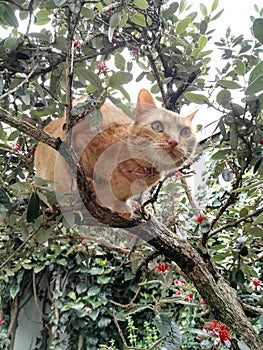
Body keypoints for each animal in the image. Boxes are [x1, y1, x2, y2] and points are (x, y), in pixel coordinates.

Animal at [34, 89, 197, 216]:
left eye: (185, 132)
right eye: (157, 126)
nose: (174, 141)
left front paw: (119, 206)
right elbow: (80, 169)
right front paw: (89, 184)